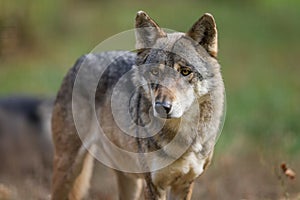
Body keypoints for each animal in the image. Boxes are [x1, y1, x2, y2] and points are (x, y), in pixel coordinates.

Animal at [51, 10, 224, 200]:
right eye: (155, 72)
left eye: (185, 72)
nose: (161, 106)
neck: (181, 137)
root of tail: (82, 59)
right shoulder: (154, 186)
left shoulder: (184, 185)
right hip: (67, 170)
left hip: (129, 181)